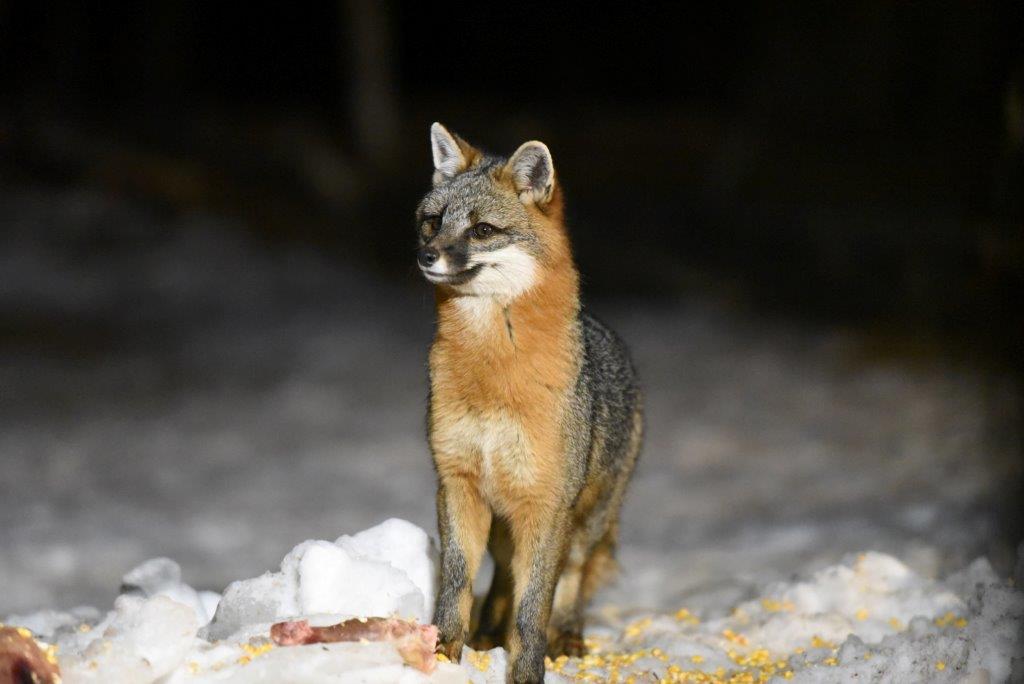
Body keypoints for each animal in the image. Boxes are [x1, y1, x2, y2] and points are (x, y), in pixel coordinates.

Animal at [416, 123, 643, 683]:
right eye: (432, 222)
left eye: (482, 230)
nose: (426, 257)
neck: (493, 380)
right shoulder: (458, 483)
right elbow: (456, 586)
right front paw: (444, 652)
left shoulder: (545, 503)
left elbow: (533, 607)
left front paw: (526, 671)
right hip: (504, 523)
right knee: (501, 579)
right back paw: (485, 635)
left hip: (582, 524)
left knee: (570, 581)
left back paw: (567, 637)